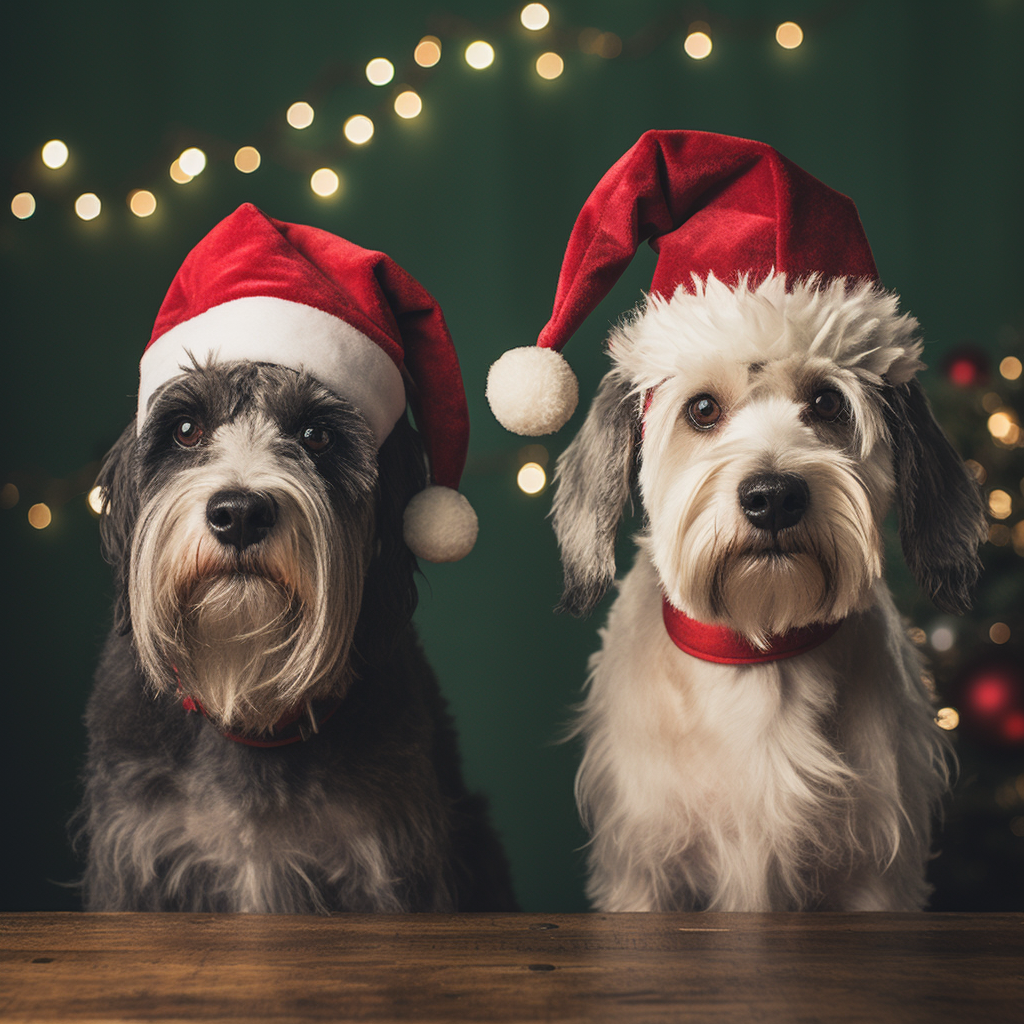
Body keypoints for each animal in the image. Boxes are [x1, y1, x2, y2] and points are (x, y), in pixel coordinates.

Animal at [75, 360, 516, 913]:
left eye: (316, 435)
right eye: (186, 429)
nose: (239, 513)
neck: (249, 707)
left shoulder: (391, 863)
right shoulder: (135, 858)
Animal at [548, 274, 987, 913]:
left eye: (828, 402)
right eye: (703, 409)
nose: (774, 497)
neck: (760, 651)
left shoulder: (875, 877)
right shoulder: (643, 872)